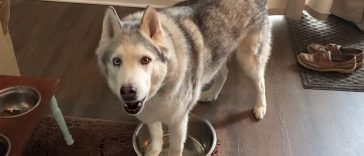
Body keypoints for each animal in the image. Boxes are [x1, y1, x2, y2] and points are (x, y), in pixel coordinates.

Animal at [96, 0, 270, 155]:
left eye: (145, 60)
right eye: (117, 61)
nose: (127, 91)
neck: (161, 89)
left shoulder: (178, 122)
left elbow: (175, 149)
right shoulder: (151, 117)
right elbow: (157, 138)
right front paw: (154, 150)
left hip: (248, 59)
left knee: (261, 83)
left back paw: (260, 107)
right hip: (217, 55)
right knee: (223, 73)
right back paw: (211, 93)